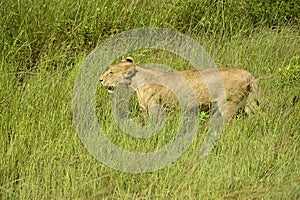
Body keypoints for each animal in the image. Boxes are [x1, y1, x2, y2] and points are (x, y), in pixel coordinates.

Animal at [99, 57, 258, 119]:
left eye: (111, 72)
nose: (100, 79)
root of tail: (249, 74)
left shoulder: (154, 107)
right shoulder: (144, 108)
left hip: (228, 104)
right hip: (250, 105)